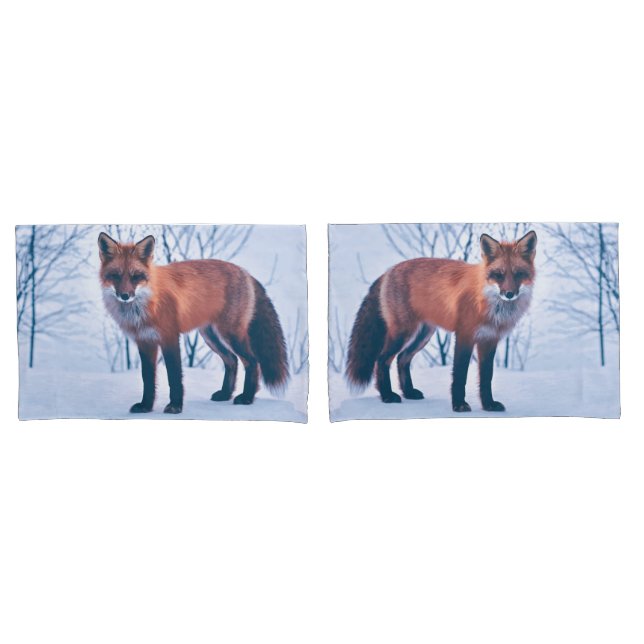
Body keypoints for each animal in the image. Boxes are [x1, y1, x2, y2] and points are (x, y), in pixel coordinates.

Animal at [98, 232, 288, 414]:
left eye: (135, 277)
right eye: (115, 276)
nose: (125, 296)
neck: (145, 305)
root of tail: (245, 272)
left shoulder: (170, 337)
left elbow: (174, 377)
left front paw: (175, 406)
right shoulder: (145, 342)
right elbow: (148, 379)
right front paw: (146, 406)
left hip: (230, 334)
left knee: (252, 361)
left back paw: (247, 398)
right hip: (211, 336)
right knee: (232, 361)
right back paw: (225, 394)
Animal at [346, 230, 537, 412]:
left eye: (518, 274)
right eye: (499, 275)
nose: (509, 294)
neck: (490, 305)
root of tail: (389, 270)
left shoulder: (489, 340)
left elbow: (486, 378)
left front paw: (488, 405)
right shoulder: (464, 335)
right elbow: (460, 375)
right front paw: (459, 405)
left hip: (423, 335)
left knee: (402, 359)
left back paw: (408, 392)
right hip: (403, 333)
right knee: (382, 360)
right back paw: (387, 396)